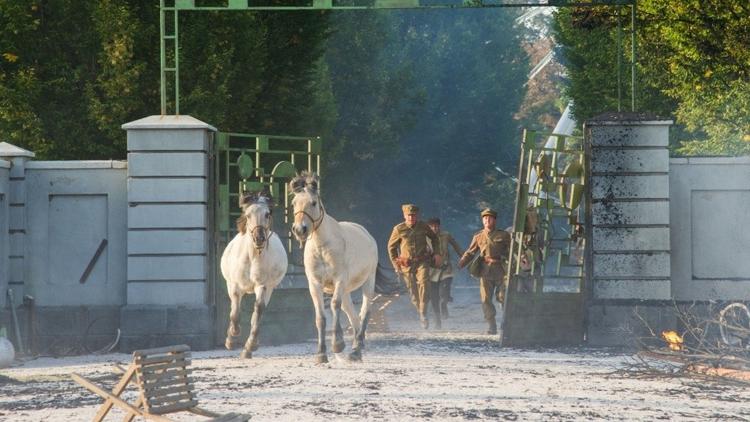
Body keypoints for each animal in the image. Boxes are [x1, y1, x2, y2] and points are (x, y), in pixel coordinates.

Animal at [222, 193, 290, 358]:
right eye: (248, 215)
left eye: (267, 214)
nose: (259, 238)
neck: (253, 257)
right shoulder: (235, 286)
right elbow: (235, 313)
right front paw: (231, 339)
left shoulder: (263, 286)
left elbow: (258, 311)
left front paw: (250, 345)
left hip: (269, 289)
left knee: (257, 313)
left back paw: (249, 348)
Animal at [290, 171, 378, 362]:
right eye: (293, 203)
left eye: (313, 203)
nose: (300, 229)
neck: (322, 246)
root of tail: (367, 234)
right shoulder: (315, 284)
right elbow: (320, 317)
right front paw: (321, 354)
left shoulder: (339, 280)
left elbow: (334, 305)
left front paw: (337, 345)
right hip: (346, 290)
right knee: (353, 316)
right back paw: (356, 347)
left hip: (368, 281)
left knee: (365, 311)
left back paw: (356, 349)